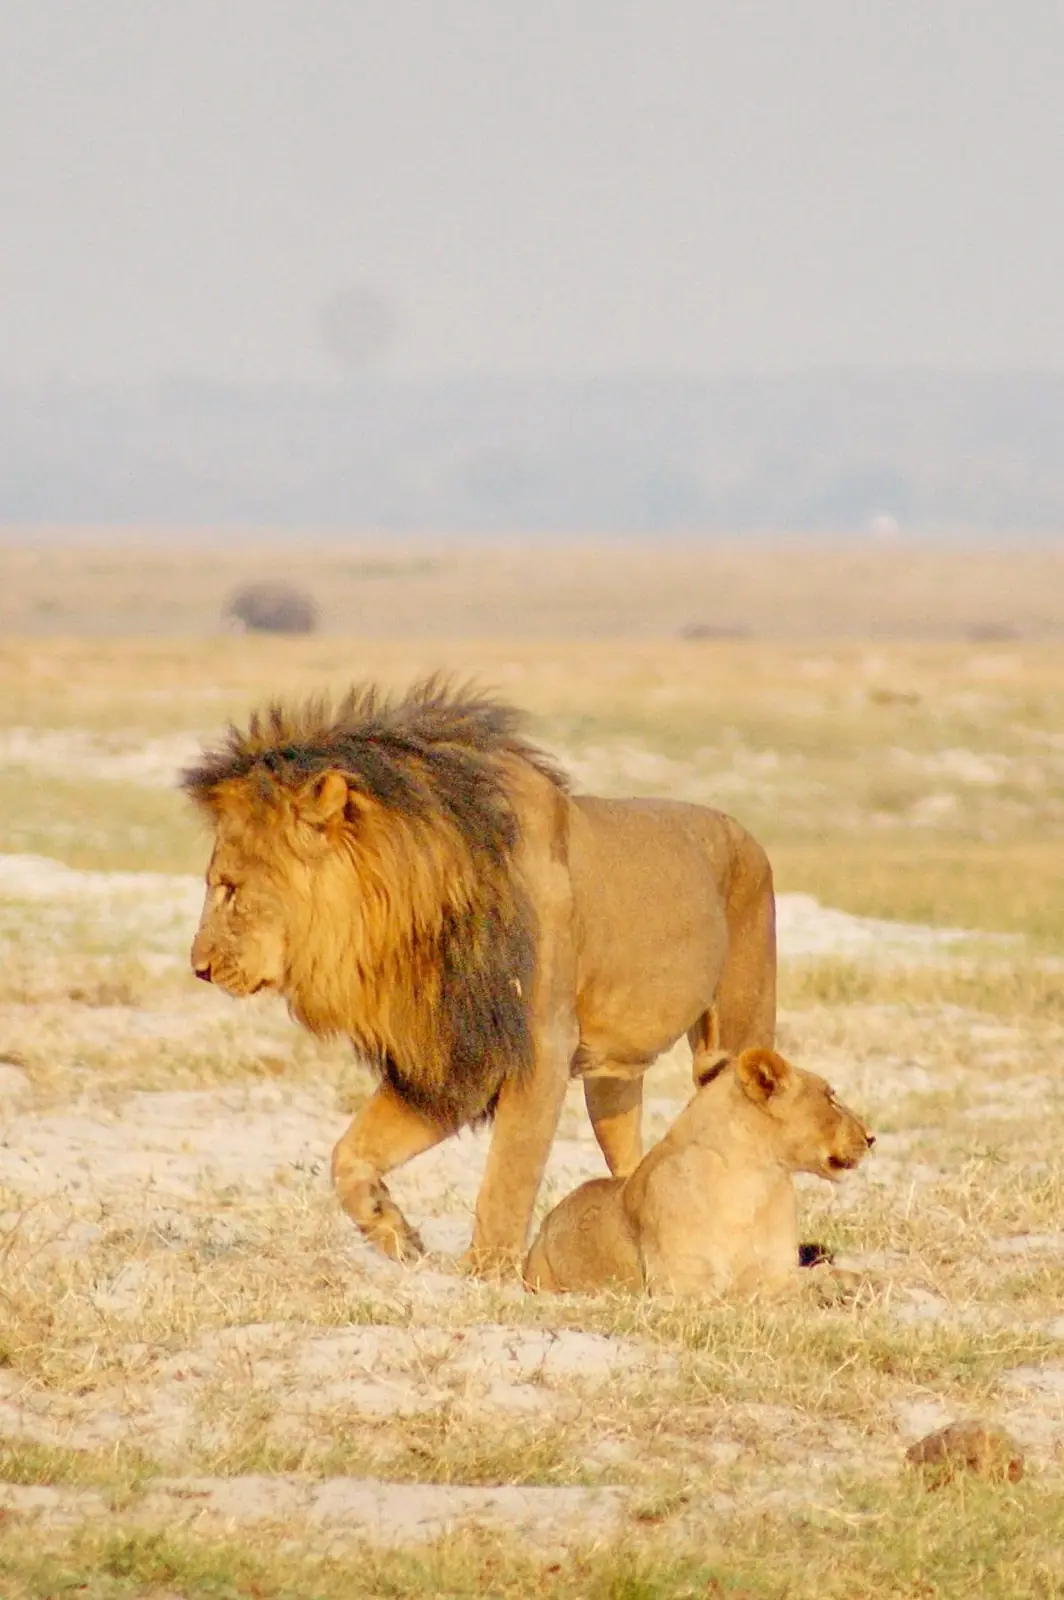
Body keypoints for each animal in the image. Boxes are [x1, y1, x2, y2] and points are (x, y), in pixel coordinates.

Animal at [182, 676, 777, 1276]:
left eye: (229, 889)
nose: (199, 968)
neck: (418, 914)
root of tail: (744, 831)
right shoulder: (449, 1059)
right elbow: (348, 1152)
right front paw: (392, 1231)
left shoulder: (541, 1046)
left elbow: (508, 1178)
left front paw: (486, 1274)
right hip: (612, 1082)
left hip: (741, 1025)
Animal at [523, 1048, 874, 1297]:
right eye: (831, 1098)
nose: (872, 1137)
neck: (755, 1181)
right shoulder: (683, 1285)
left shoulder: (774, 1270)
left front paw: (850, 1284)